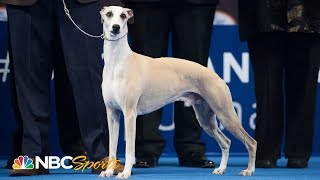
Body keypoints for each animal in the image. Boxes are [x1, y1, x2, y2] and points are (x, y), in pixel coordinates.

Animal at [99, 5, 258, 179]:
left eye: (123, 16)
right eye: (109, 14)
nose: (116, 27)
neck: (118, 62)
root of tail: (216, 76)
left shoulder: (129, 114)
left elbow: (129, 149)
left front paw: (126, 172)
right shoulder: (112, 113)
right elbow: (112, 148)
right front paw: (109, 171)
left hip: (226, 114)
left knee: (251, 142)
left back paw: (249, 170)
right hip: (205, 119)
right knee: (226, 142)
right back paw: (221, 169)